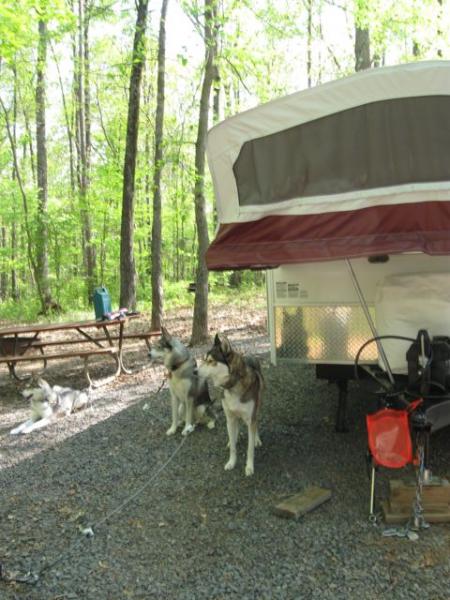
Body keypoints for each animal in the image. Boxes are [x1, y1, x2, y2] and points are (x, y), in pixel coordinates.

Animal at [200, 336, 264, 476]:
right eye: (204, 359)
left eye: (211, 361)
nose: (194, 371)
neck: (233, 385)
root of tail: (249, 356)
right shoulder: (229, 417)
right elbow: (233, 448)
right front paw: (231, 462)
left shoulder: (250, 419)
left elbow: (250, 448)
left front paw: (249, 467)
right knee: (235, 426)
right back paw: (232, 439)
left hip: (257, 410)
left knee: (256, 423)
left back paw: (256, 439)